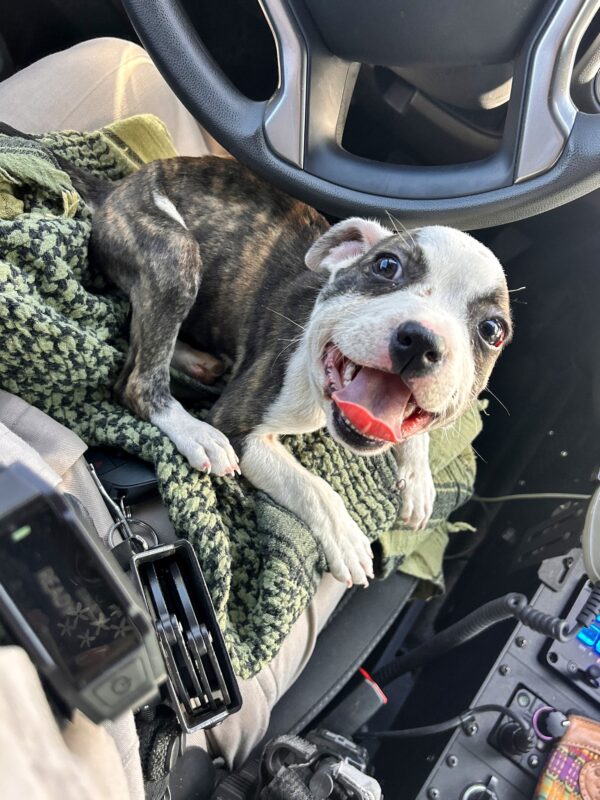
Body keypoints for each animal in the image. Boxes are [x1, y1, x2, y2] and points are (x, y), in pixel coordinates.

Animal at [4, 126, 510, 588]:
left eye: (492, 331)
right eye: (386, 266)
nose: (422, 340)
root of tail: (117, 189)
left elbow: (416, 433)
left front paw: (418, 478)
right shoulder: (242, 425)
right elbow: (312, 486)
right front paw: (346, 537)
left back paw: (196, 361)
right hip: (176, 256)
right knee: (137, 378)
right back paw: (195, 432)